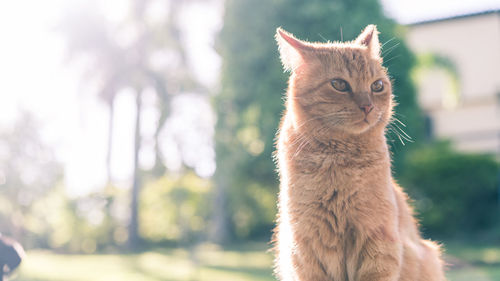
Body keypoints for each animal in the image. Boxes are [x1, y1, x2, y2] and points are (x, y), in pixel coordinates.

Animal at [274, 24, 446, 280]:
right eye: (339, 84)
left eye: (377, 86)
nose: (368, 106)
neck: (338, 159)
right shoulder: (306, 250)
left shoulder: (378, 244)